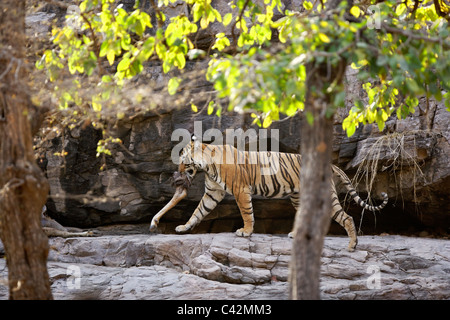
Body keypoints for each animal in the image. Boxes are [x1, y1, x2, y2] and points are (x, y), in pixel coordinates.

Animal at [149, 134, 388, 251]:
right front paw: (184, 227)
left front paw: (245, 231)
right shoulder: (212, 193)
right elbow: (197, 212)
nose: (178, 172)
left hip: (325, 196)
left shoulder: (240, 190)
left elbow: (246, 212)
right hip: (298, 197)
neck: (207, 165)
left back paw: (352, 245)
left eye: (182, 159)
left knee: (347, 217)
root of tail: (330, 165)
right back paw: (295, 234)